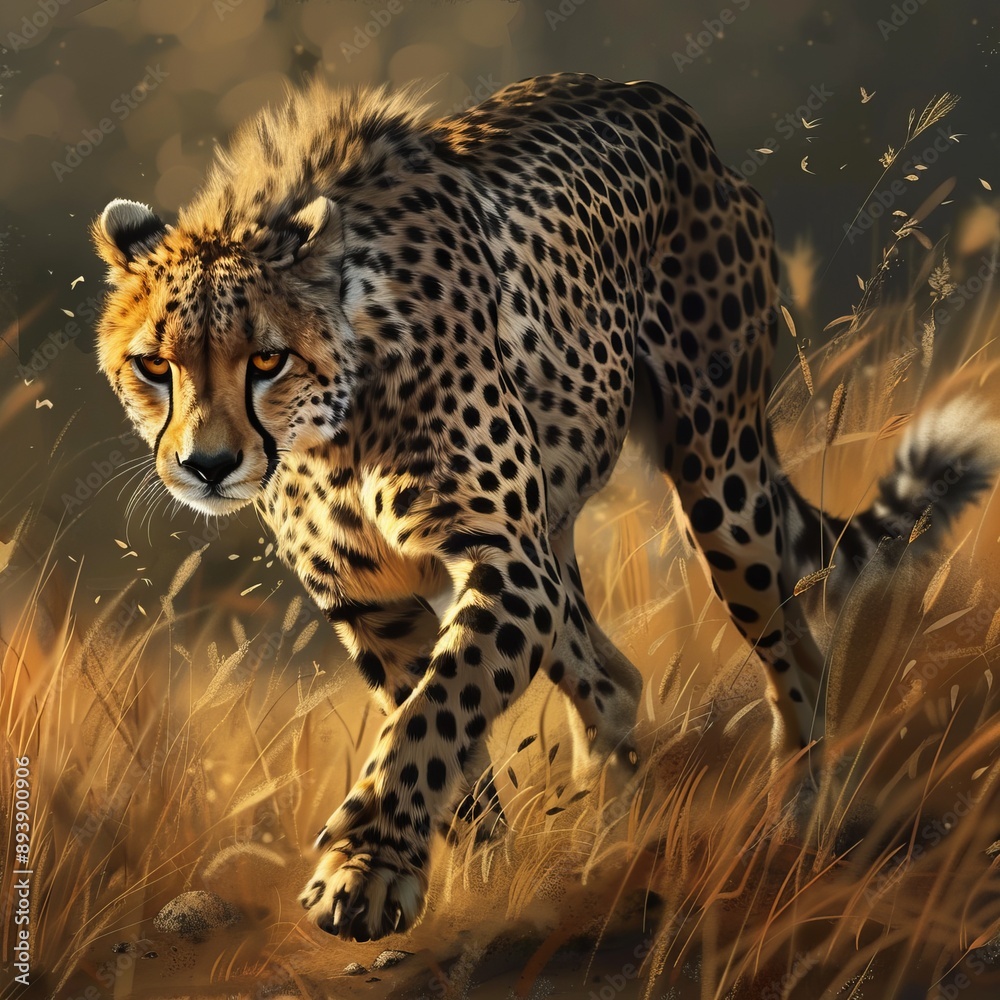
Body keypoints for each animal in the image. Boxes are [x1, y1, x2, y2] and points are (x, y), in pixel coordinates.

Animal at [91, 73, 998, 942]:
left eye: (266, 360)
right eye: (154, 366)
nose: (206, 467)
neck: (331, 430)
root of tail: (663, 105)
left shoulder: (504, 562)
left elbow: (433, 718)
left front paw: (363, 869)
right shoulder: (373, 600)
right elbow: (443, 740)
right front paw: (469, 880)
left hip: (718, 482)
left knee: (794, 654)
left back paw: (800, 817)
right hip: (561, 540)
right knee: (614, 679)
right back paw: (609, 843)